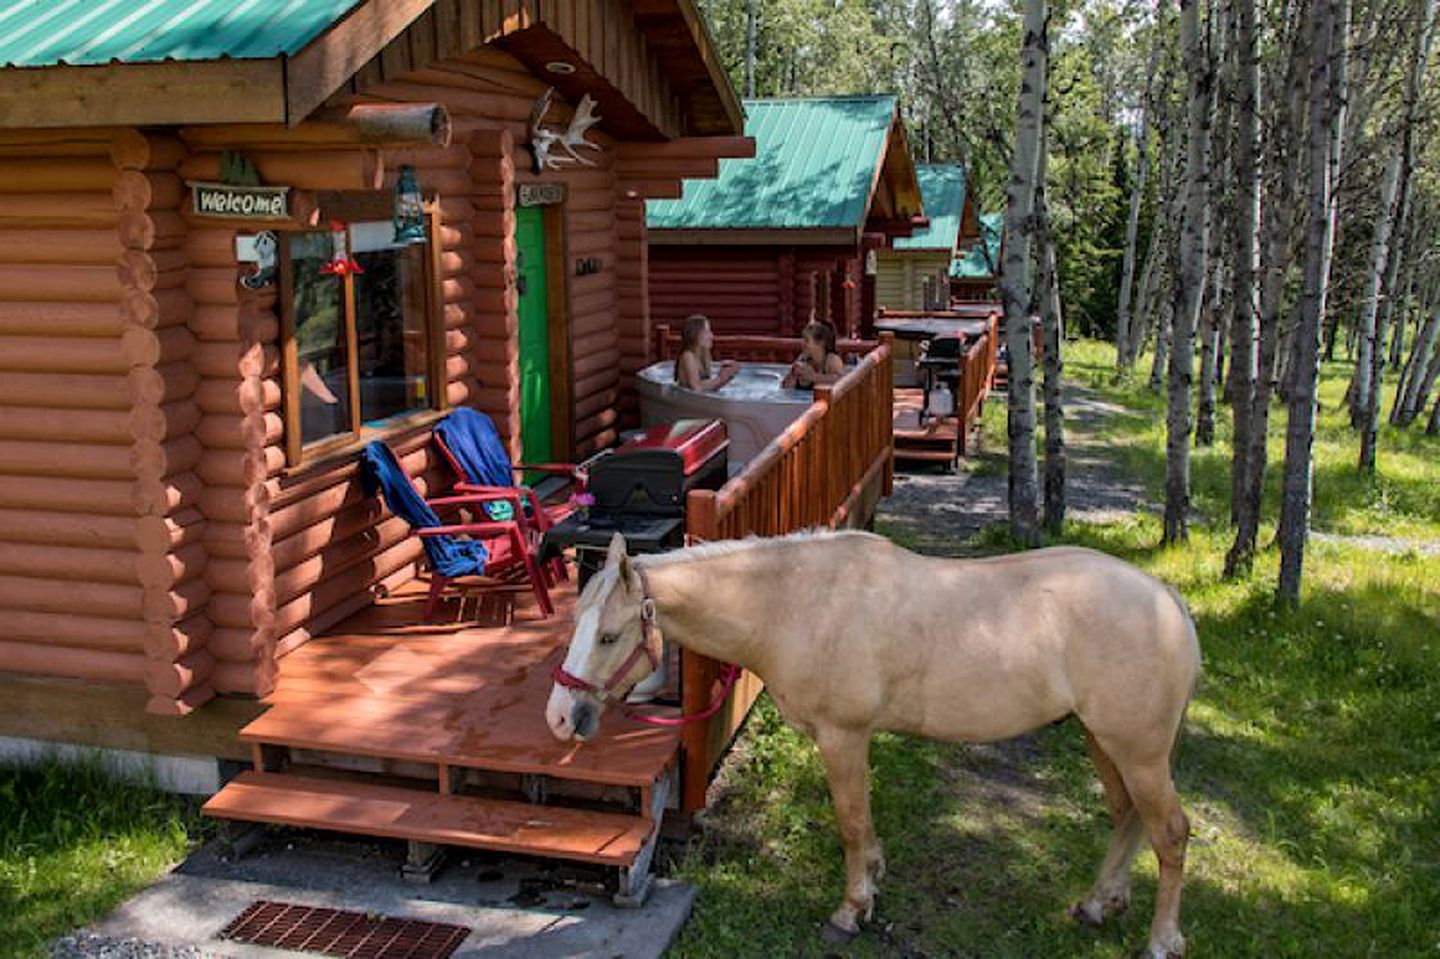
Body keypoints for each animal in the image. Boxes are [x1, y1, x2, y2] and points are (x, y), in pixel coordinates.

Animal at [544, 529, 1198, 956]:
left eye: (608, 636)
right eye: (576, 623)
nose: (559, 718)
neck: (797, 605)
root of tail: (1168, 603)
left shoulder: (844, 737)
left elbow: (851, 822)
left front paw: (852, 910)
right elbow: (865, 825)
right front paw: (875, 877)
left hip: (1137, 751)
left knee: (1168, 832)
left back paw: (1162, 941)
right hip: (1103, 740)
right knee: (1127, 817)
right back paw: (1098, 904)